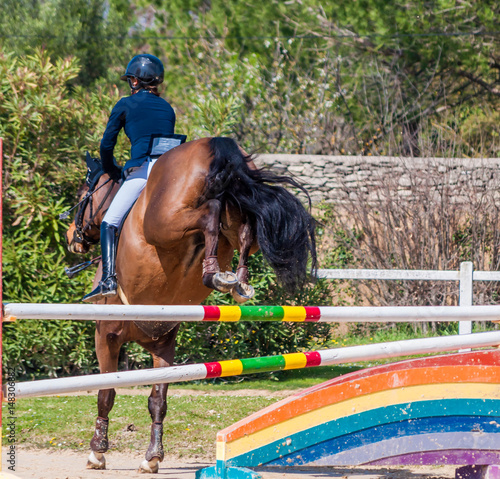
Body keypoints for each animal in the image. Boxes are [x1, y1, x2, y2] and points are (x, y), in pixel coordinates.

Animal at [65, 137, 316, 474]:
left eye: (84, 194)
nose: (72, 237)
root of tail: (215, 145)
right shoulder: (162, 342)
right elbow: (157, 400)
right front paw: (152, 456)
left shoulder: (107, 335)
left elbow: (106, 392)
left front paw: (98, 452)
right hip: (234, 219)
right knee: (245, 229)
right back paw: (237, 281)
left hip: (166, 222)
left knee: (209, 215)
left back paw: (214, 273)